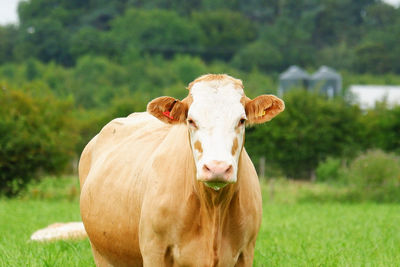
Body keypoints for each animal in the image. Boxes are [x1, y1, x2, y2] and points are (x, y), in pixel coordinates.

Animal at [79, 74, 284, 267]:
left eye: (241, 120)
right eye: (191, 120)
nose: (217, 168)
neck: (213, 209)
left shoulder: (246, 252)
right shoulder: (153, 250)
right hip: (100, 252)